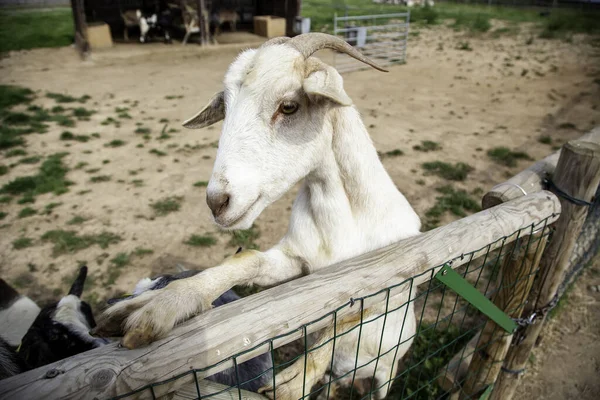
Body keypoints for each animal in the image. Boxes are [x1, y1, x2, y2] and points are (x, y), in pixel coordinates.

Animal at [95, 32, 422, 398]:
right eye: (225, 107)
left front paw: (291, 382)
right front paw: (158, 305)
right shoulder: (297, 263)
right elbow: (247, 259)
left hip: (387, 369)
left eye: (289, 105)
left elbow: (347, 317)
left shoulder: (398, 281)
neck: (346, 223)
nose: (217, 202)